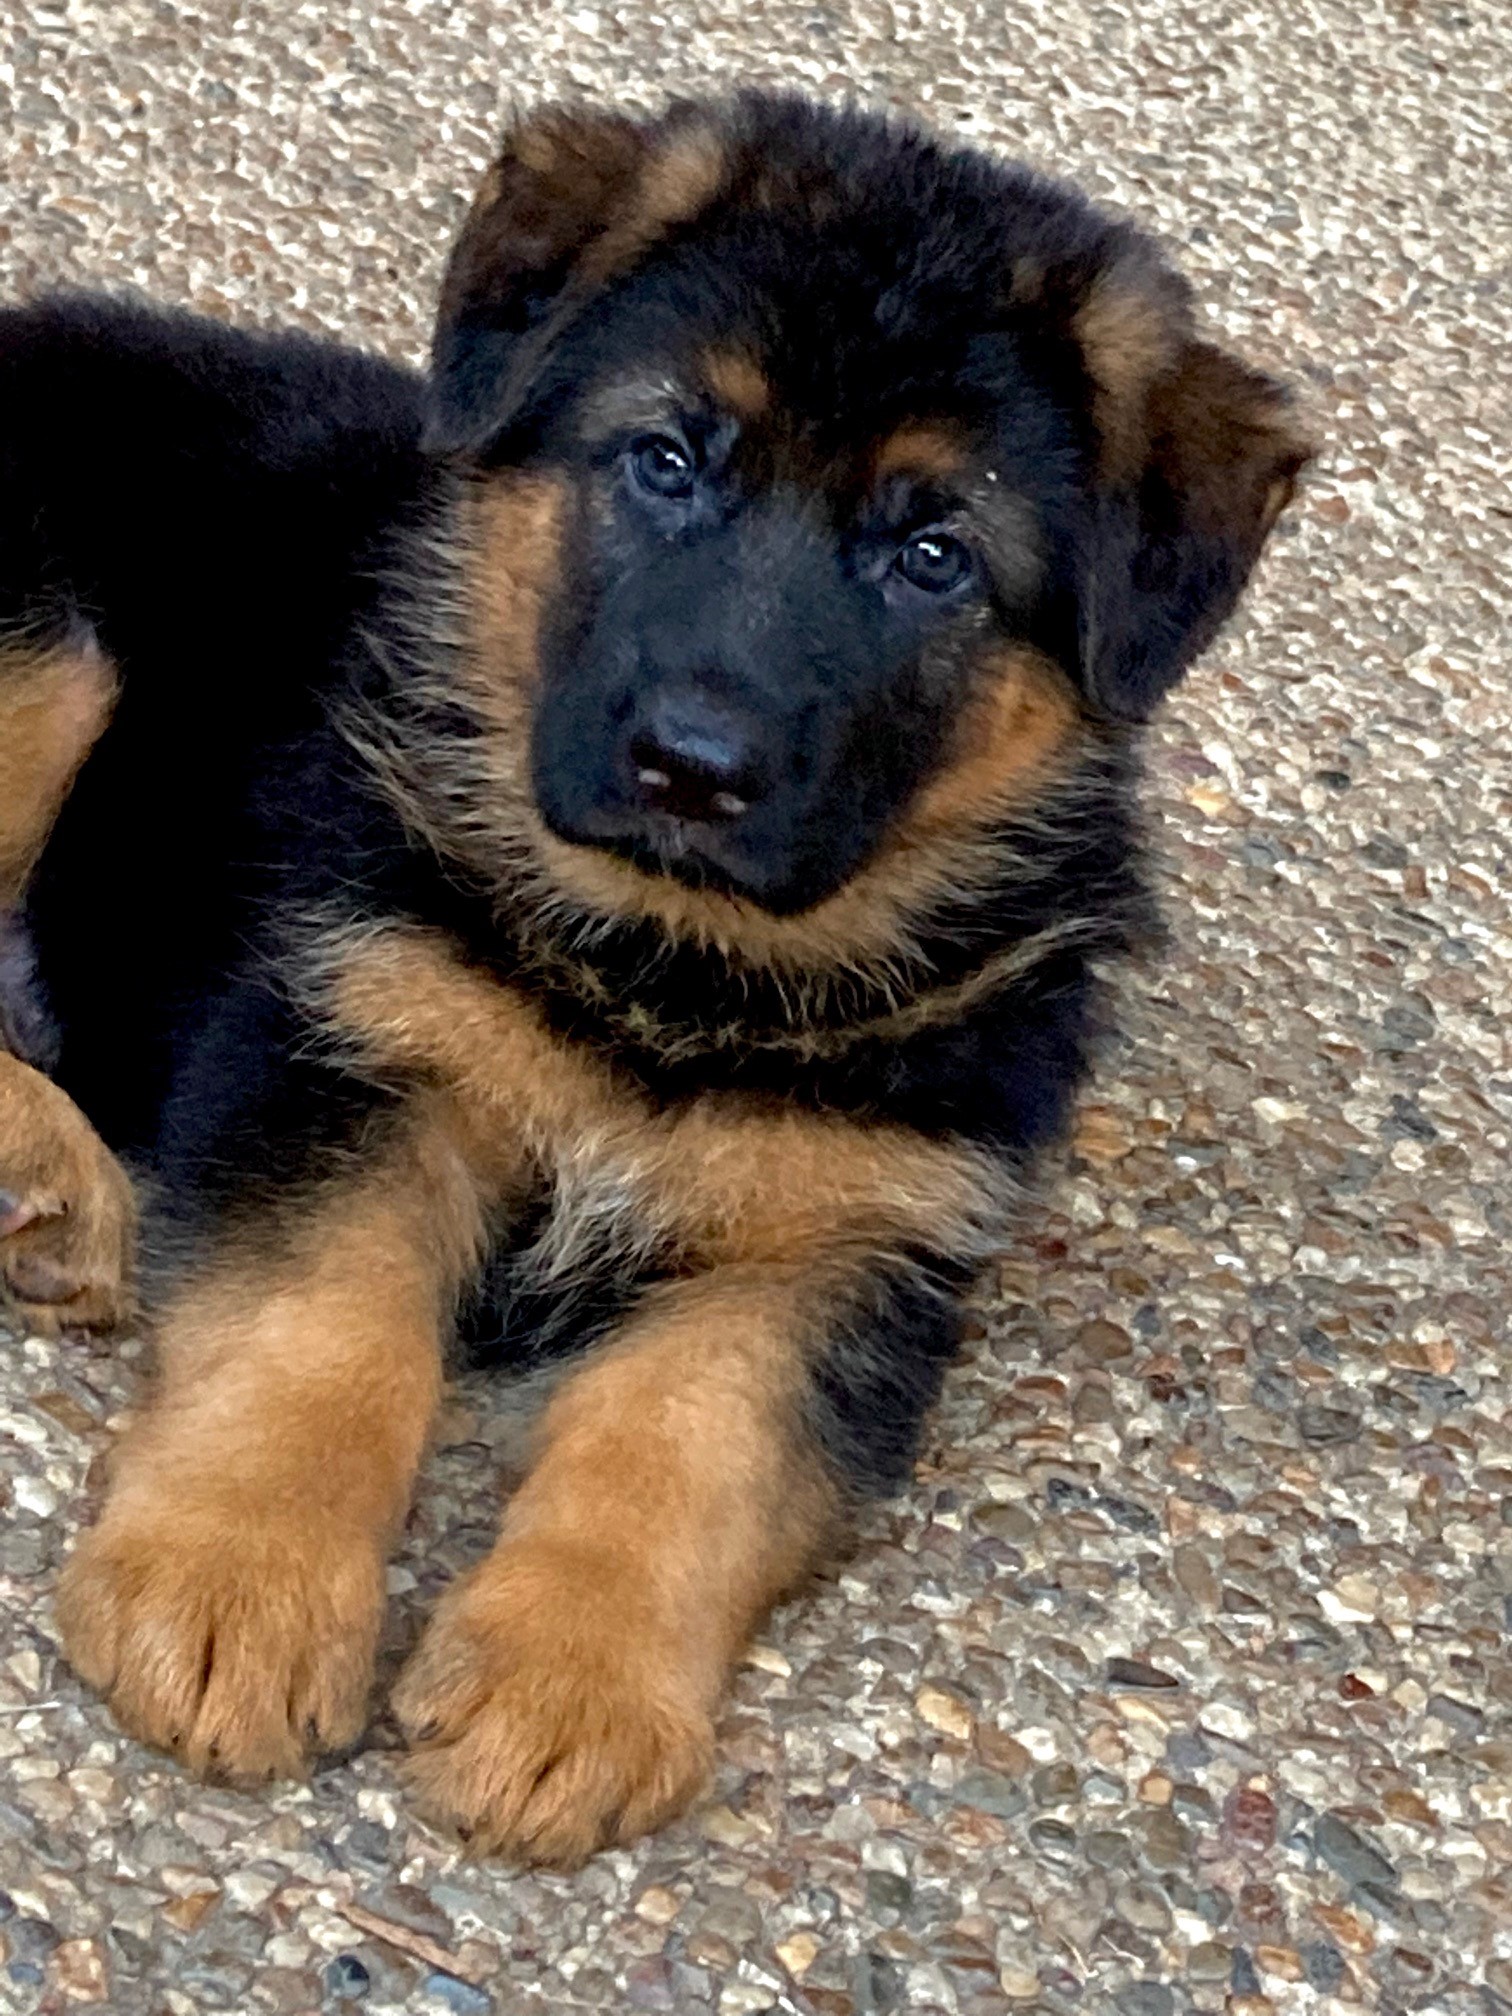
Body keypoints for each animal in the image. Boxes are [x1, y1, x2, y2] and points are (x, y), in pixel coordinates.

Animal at [0, 90, 1306, 1854]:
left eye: (935, 556)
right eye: (666, 460)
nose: (693, 766)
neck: (675, 973)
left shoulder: (848, 1244)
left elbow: (688, 1442)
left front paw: (572, 1681)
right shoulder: (347, 1047)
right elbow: (325, 1332)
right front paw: (236, 1577)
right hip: (52, 636)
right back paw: (44, 1165)